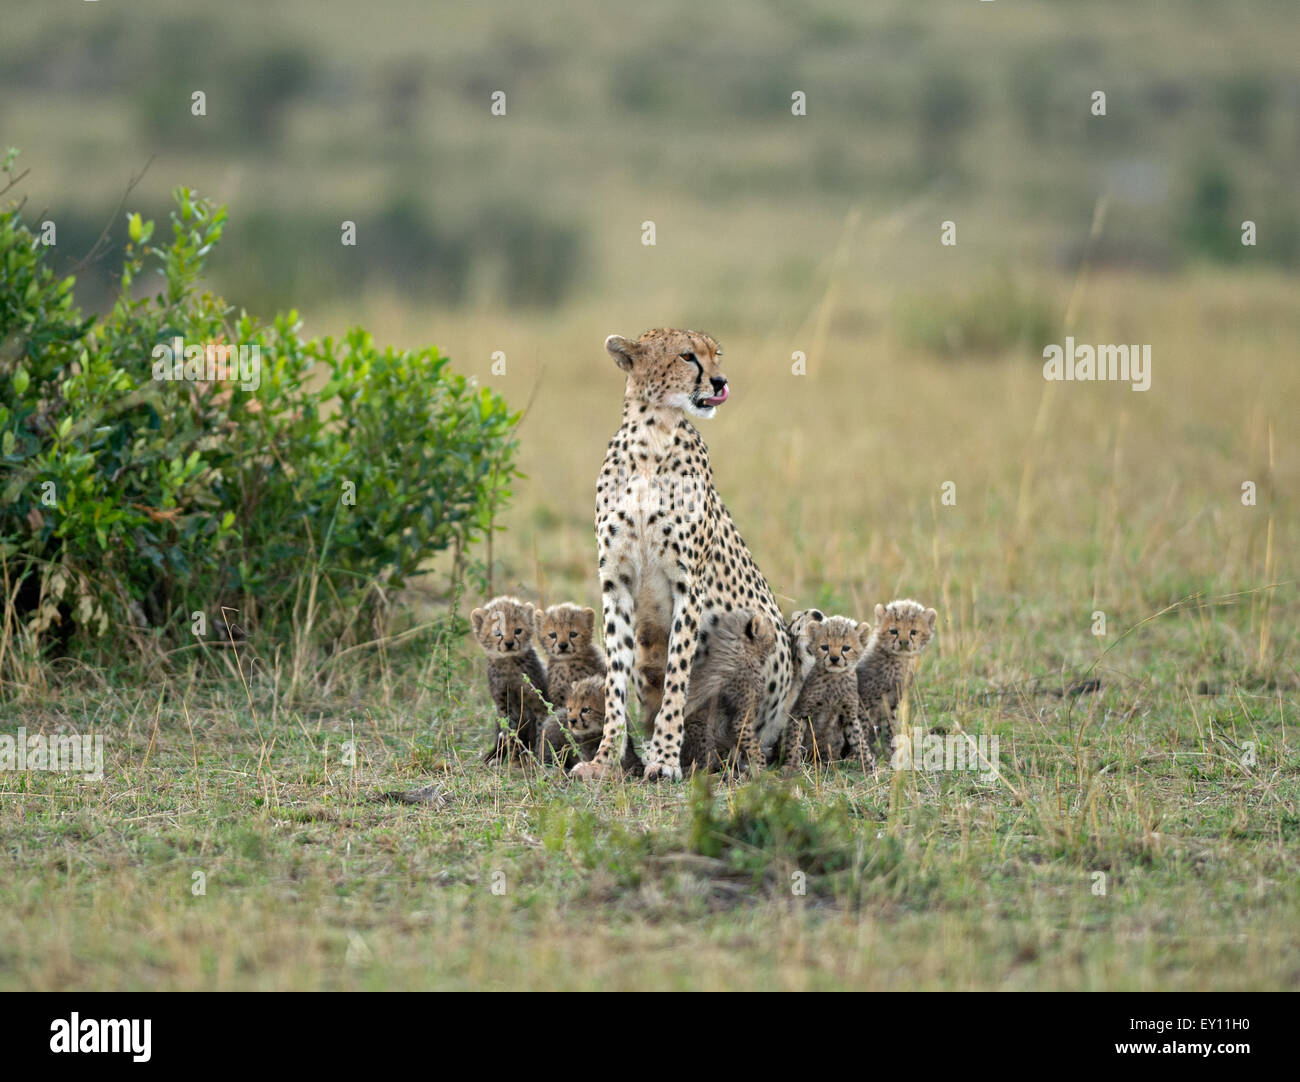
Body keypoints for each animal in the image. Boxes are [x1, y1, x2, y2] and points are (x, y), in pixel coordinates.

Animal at [574, 325, 795, 780]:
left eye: (716, 355)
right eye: (687, 356)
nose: (720, 382)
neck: (652, 438)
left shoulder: (687, 585)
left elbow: (678, 674)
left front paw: (664, 758)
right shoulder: (616, 583)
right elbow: (615, 680)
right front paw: (604, 760)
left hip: (771, 632)